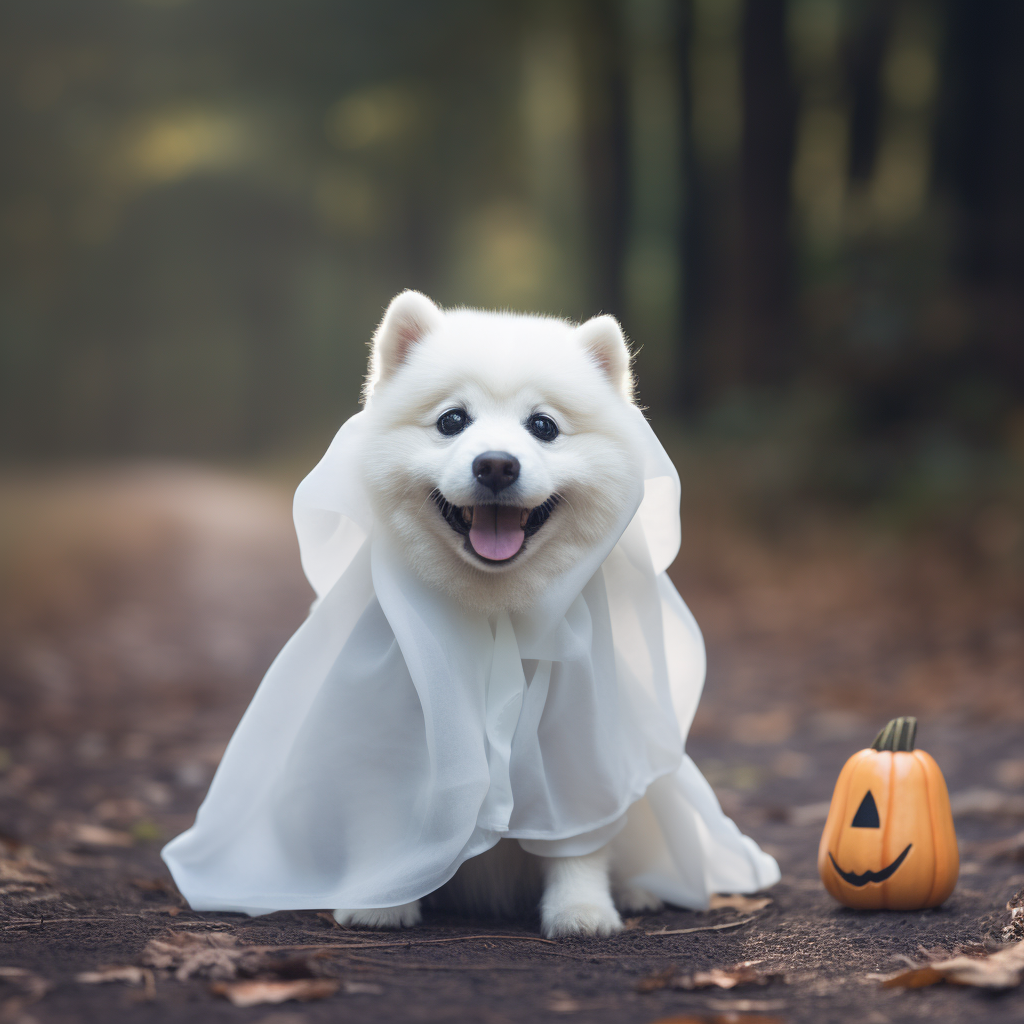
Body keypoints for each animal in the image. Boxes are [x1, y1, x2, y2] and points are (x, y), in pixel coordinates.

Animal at [159, 288, 774, 937]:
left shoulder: (577, 743)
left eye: (543, 426)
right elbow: (389, 820)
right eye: (452, 421)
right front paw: (383, 902)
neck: (494, 612)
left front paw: (581, 910)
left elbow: (577, 842)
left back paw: (637, 891)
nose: (496, 464)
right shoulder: (389, 732)